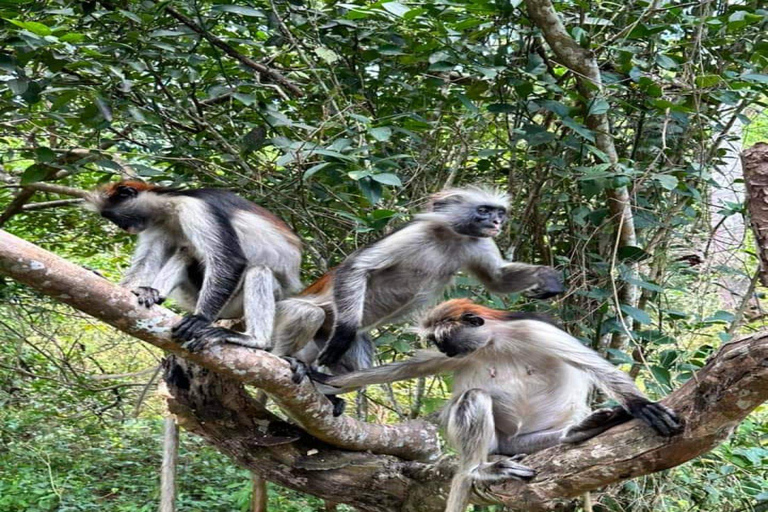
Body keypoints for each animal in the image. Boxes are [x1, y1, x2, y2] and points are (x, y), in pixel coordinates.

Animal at [88, 180, 304, 348]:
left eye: (114, 218)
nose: (125, 228)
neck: (169, 207)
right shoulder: (159, 223)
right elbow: (146, 262)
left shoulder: (195, 208)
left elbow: (230, 260)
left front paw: (200, 319)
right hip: (193, 295)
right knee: (186, 253)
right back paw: (152, 294)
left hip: (232, 306)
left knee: (258, 270)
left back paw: (255, 340)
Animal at [312, 300, 684, 512]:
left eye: (443, 339)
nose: (445, 350)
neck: (496, 341)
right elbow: (403, 370)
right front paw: (320, 380)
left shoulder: (533, 329)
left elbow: (596, 367)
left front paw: (640, 404)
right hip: (500, 443)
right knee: (475, 397)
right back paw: (480, 469)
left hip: (530, 441)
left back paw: (579, 431)